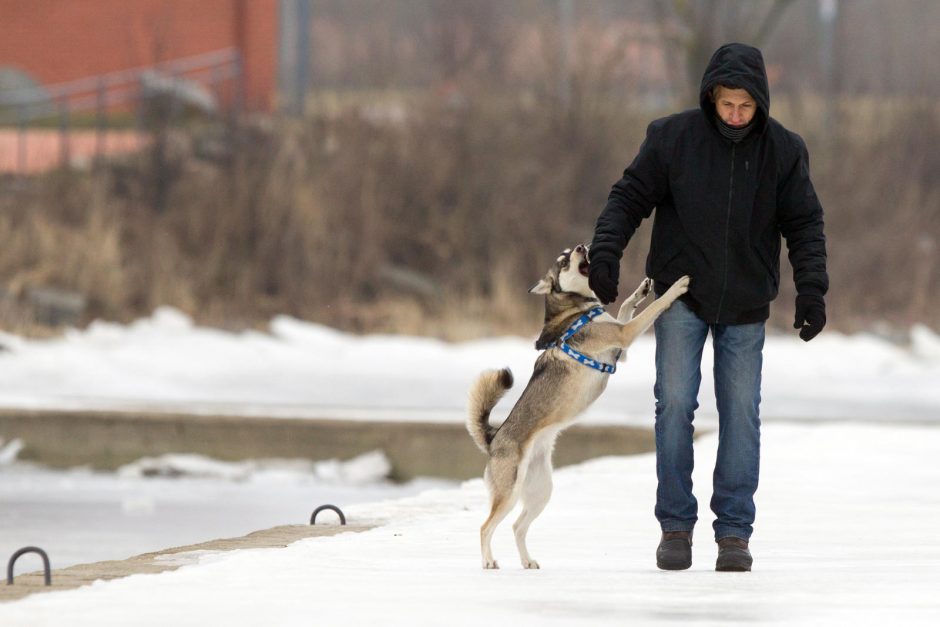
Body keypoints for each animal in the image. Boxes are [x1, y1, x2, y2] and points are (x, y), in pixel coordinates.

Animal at [466, 245, 688, 568]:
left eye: (569, 250)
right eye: (563, 260)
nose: (583, 247)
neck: (578, 311)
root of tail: (493, 439)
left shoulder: (620, 348)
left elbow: (626, 308)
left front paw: (641, 290)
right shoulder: (623, 335)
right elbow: (653, 308)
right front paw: (676, 287)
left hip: (541, 491)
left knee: (517, 526)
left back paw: (528, 562)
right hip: (509, 492)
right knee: (485, 527)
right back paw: (488, 562)